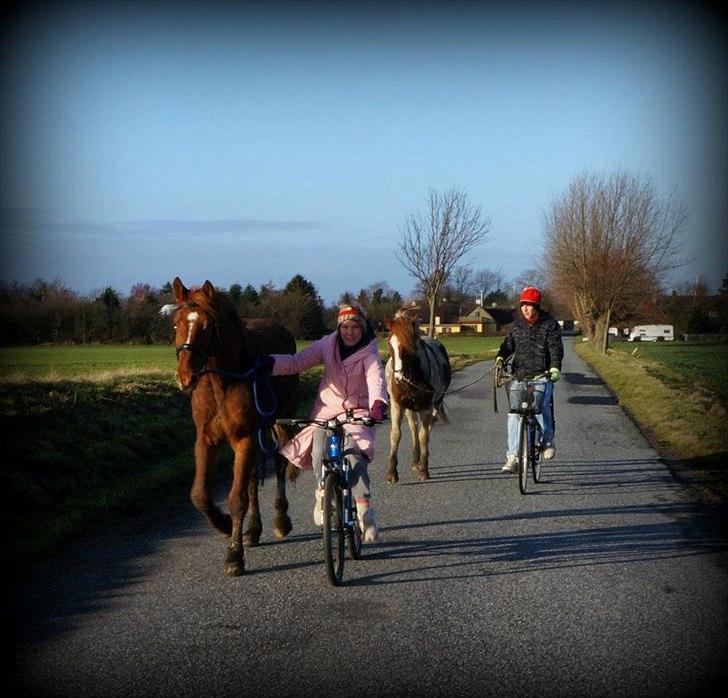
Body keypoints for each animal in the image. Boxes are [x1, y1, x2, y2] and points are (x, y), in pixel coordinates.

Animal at [169, 274, 298, 572]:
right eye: (176, 324)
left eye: (207, 326)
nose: (185, 376)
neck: (223, 381)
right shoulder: (206, 439)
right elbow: (199, 495)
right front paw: (225, 525)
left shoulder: (245, 438)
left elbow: (237, 498)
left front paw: (233, 555)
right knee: (251, 479)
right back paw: (252, 530)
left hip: (279, 421)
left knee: (279, 463)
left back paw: (280, 521)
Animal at [386, 308, 450, 482]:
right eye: (390, 344)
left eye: (408, 346)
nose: (397, 377)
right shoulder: (397, 405)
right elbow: (395, 435)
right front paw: (392, 473)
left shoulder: (426, 407)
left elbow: (424, 436)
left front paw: (424, 469)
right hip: (410, 407)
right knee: (413, 427)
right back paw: (415, 461)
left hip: (435, 404)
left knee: (427, 427)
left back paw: (421, 462)